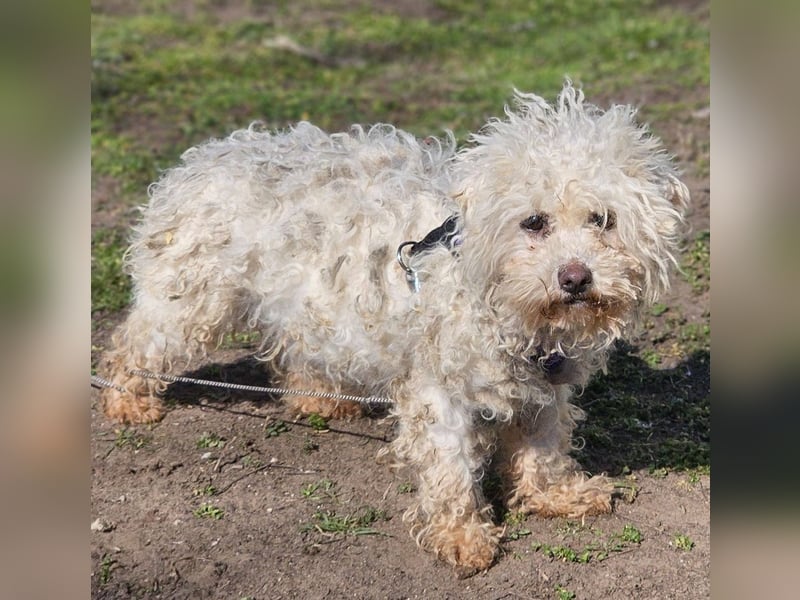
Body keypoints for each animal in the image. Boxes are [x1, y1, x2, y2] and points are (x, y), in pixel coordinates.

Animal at [98, 82, 688, 572]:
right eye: (534, 222)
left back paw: (318, 397)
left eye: (603, 220)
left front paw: (555, 495)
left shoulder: (547, 384)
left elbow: (543, 447)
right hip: (189, 300)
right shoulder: (438, 391)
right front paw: (462, 536)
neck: (496, 299)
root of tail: (201, 160)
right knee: (135, 343)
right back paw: (128, 399)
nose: (574, 277)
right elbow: (451, 467)